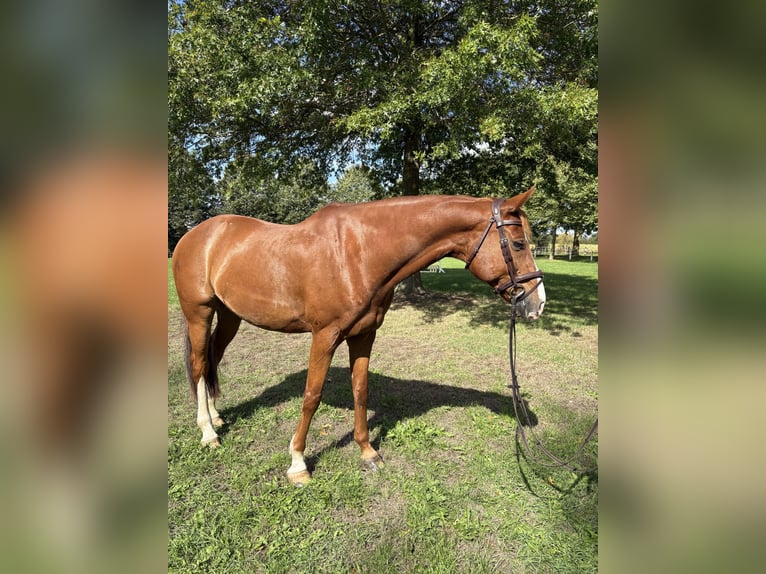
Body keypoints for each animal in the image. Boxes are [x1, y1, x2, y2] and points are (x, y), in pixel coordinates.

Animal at [171, 186, 546, 485]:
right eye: (518, 243)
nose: (537, 303)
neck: (358, 252)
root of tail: (196, 235)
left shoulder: (364, 335)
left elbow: (361, 390)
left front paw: (367, 452)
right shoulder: (324, 336)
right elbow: (311, 396)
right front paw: (298, 463)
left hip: (229, 315)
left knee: (212, 359)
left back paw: (216, 416)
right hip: (199, 313)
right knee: (198, 364)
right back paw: (208, 431)